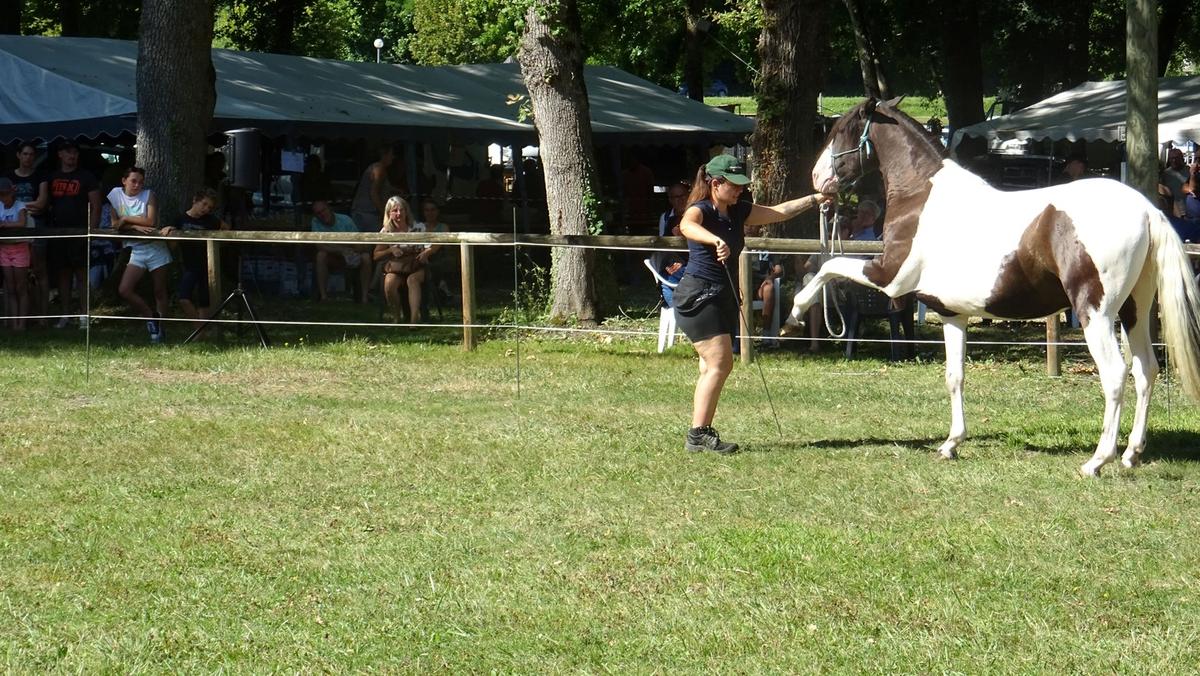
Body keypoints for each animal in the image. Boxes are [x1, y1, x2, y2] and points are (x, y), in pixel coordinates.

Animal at [786, 98, 1200, 476]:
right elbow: (955, 376)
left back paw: (1098, 461)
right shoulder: (951, 314)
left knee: (1115, 374)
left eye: (841, 130)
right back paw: (1131, 454)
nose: (817, 180)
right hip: (1135, 311)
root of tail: (1147, 210)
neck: (923, 197)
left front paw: (794, 315)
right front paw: (951, 444)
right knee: (1146, 370)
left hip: (1095, 313)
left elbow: (828, 266)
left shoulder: (889, 276)